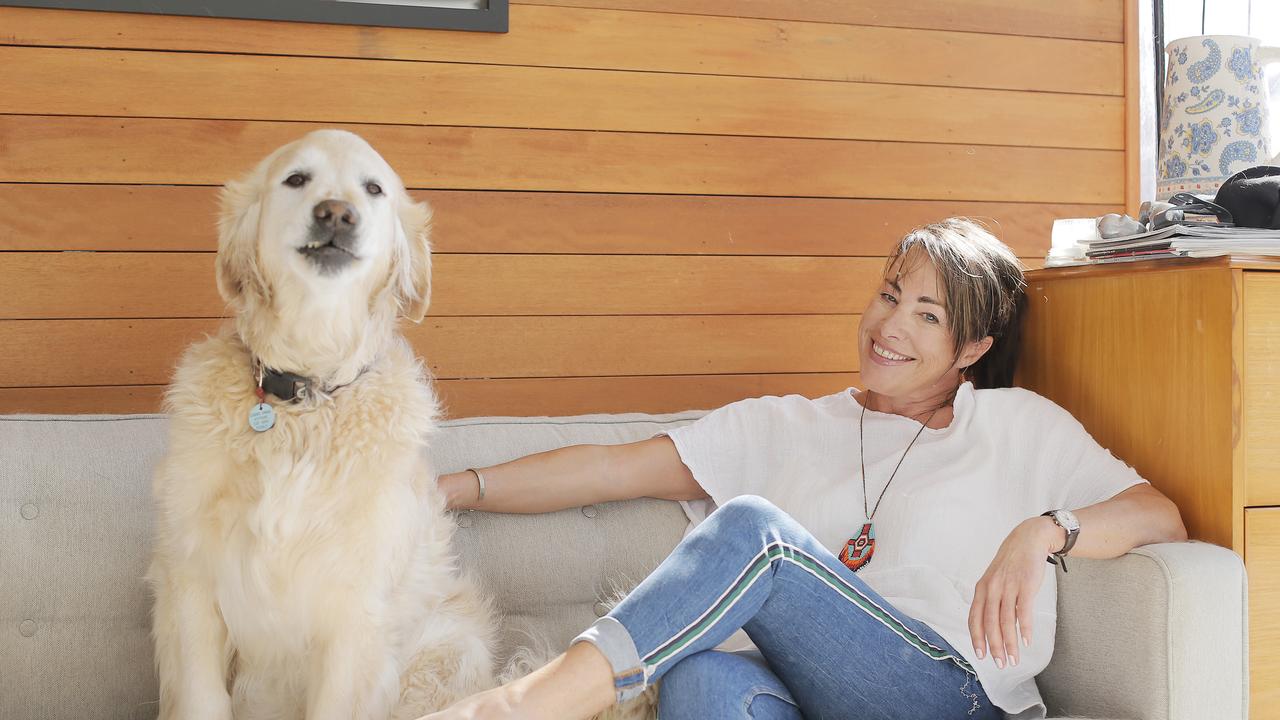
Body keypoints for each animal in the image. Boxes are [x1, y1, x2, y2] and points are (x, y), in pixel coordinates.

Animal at [145, 128, 494, 717]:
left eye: (373, 188)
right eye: (296, 179)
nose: (336, 214)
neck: (305, 397)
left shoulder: (355, 617)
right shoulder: (191, 583)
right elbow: (200, 697)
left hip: (448, 649)